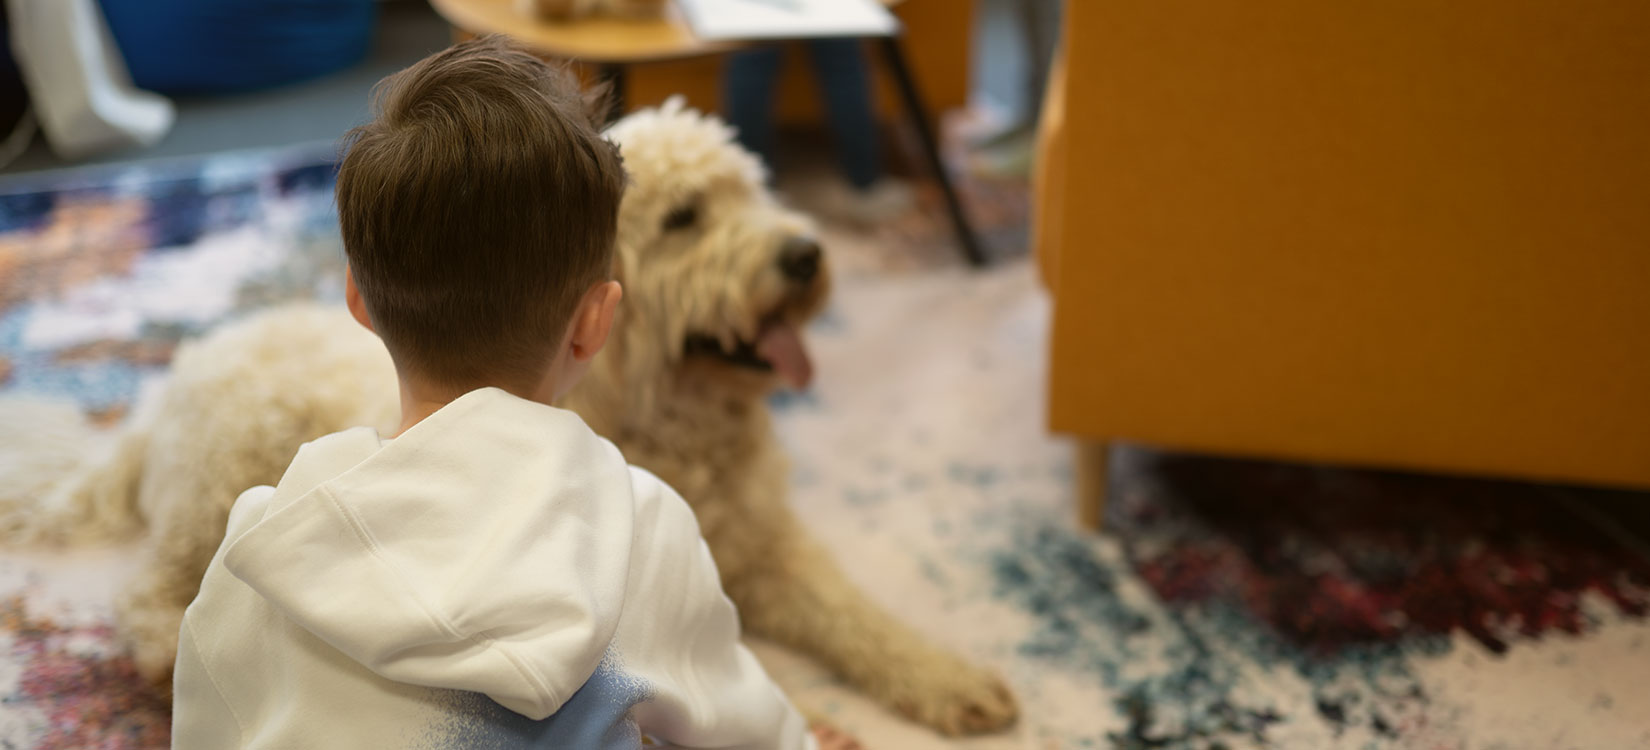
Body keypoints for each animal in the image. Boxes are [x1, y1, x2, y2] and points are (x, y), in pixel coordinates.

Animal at [0, 98, 1009, 735]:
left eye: (755, 191)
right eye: (685, 218)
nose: (806, 255)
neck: (671, 418)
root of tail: (166, 386)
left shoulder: (773, 551)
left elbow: (858, 617)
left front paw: (948, 678)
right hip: (220, 484)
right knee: (144, 593)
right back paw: (161, 658)